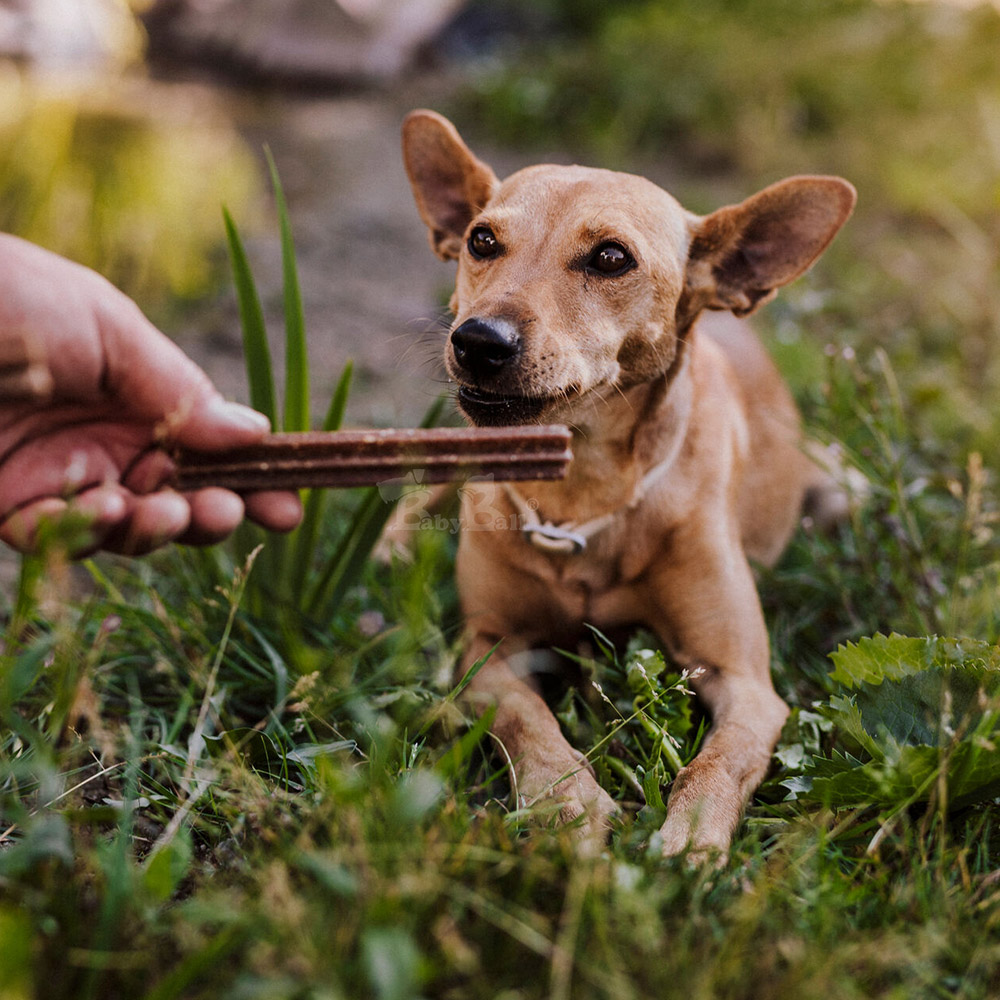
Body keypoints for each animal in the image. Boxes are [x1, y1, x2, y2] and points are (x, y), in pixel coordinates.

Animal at [402, 111, 856, 860]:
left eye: (611, 258)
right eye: (481, 240)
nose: (478, 340)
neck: (583, 490)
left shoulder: (746, 684)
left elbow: (719, 761)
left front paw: (691, 841)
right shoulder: (488, 653)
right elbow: (530, 722)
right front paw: (570, 806)